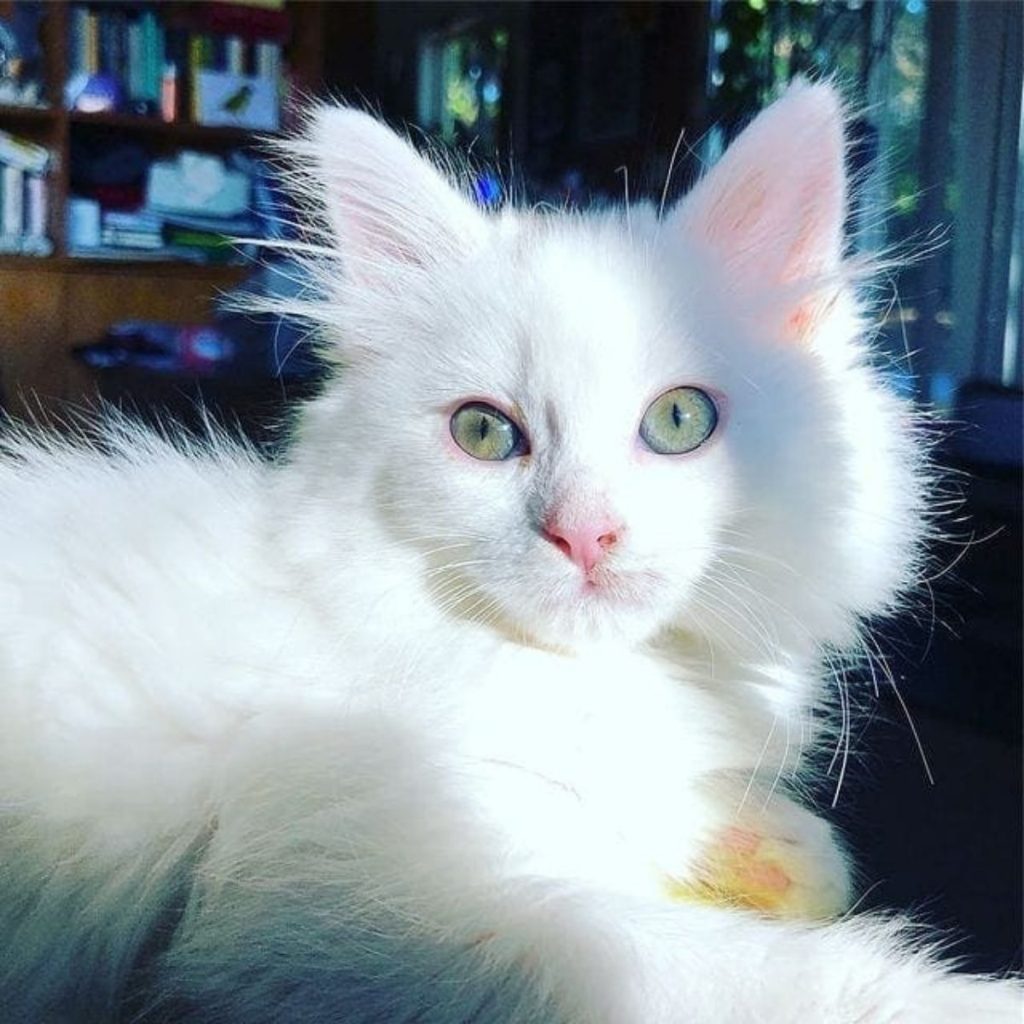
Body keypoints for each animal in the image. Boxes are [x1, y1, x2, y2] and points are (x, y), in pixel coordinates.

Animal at [0, 81, 1019, 1024]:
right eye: (485, 434)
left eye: (679, 422)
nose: (583, 532)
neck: (586, 682)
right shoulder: (347, 903)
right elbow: (778, 974)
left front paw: (781, 850)